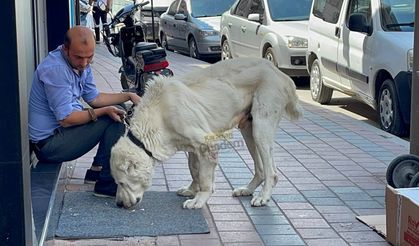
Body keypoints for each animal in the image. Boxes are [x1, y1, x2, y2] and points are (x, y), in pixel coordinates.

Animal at [110, 57, 304, 209]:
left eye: (122, 183)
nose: (118, 204)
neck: (158, 114)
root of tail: (279, 72)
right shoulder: (192, 148)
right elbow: (194, 170)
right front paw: (191, 190)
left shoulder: (206, 144)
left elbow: (204, 177)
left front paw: (199, 199)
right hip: (248, 129)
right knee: (262, 170)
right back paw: (247, 190)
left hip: (260, 128)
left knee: (271, 172)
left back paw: (263, 197)